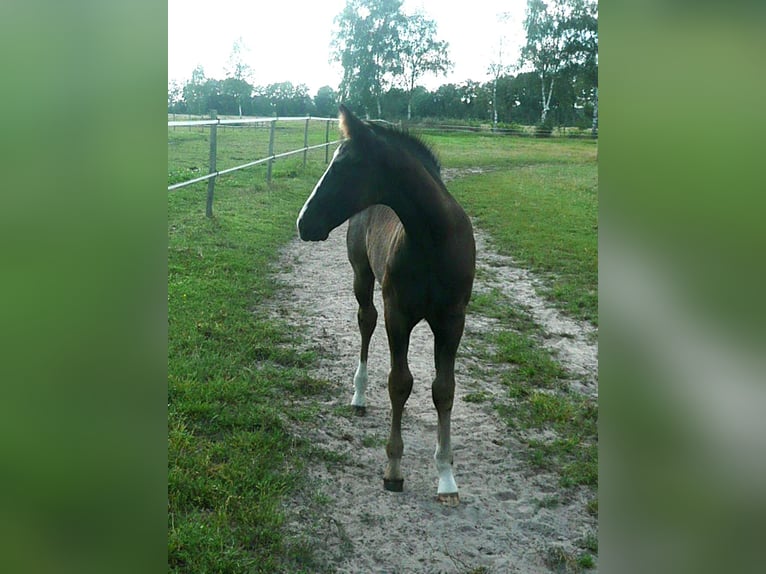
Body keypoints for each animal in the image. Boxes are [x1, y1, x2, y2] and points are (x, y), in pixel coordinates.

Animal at [296, 106, 476, 506]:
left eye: (344, 166)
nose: (303, 222)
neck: (433, 240)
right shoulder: (399, 314)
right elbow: (400, 383)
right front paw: (393, 468)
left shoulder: (452, 320)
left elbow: (444, 389)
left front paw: (447, 477)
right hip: (362, 276)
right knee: (366, 321)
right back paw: (359, 394)